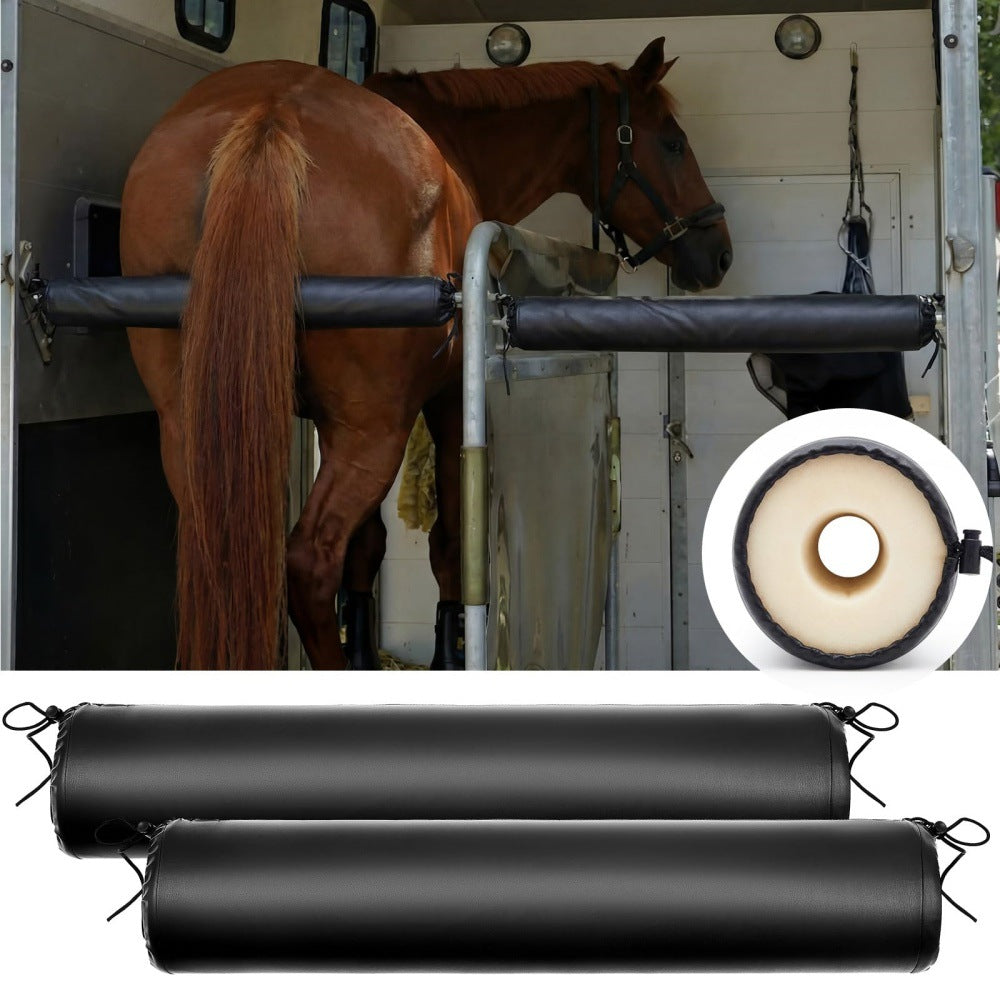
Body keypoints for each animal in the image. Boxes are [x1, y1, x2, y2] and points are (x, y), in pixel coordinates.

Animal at [120, 38, 731, 669]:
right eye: (673, 142)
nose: (719, 253)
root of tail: (271, 116)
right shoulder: (446, 406)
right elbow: (449, 546)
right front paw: (448, 650)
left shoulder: (332, 424)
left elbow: (367, 548)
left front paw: (366, 650)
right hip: (375, 432)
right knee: (309, 562)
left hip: (193, 430)